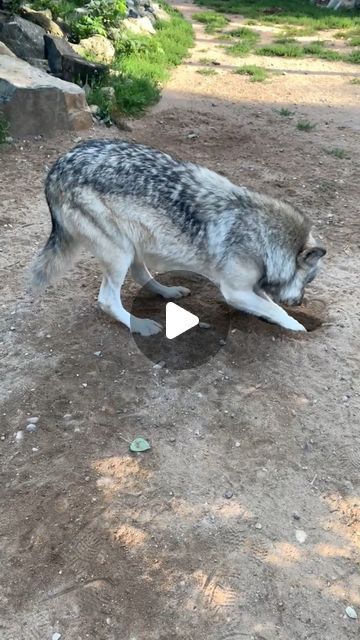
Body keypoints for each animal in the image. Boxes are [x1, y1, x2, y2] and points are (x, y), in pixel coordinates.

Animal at [30, 139, 326, 336]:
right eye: (308, 280)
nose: (300, 302)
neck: (263, 238)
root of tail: (56, 168)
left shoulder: (252, 287)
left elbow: (270, 306)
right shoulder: (235, 291)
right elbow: (276, 309)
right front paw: (297, 325)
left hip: (134, 245)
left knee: (141, 275)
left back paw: (168, 292)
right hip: (120, 253)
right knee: (107, 300)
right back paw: (140, 325)